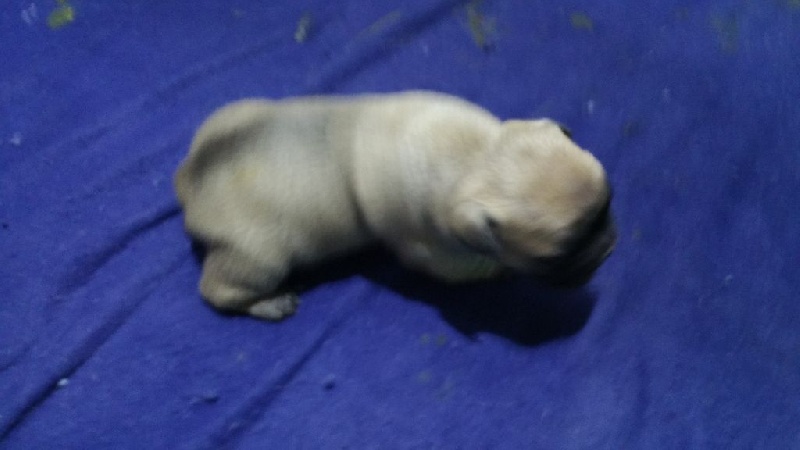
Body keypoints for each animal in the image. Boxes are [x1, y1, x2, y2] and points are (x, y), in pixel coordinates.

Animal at [174, 91, 616, 320]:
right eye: (552, 258)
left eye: (608, 206)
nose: (608, 248)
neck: (477, 156)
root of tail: (190, 181)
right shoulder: (435, 251)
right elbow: (469, 265)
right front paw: (500, 269)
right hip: (260, 257)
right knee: (220, 289)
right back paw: (268, 302)